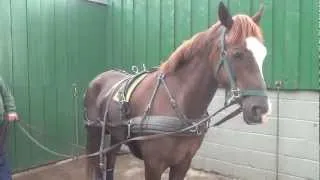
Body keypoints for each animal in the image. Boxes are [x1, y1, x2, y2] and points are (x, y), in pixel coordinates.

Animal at [84, 2, 270, 180]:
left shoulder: (183, 163)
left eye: (264, 54)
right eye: (237, 53)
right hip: (94, 134)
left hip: (114, 136)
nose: (261, 109)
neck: (178, 103)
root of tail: (99, 77)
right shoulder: (153, 165)